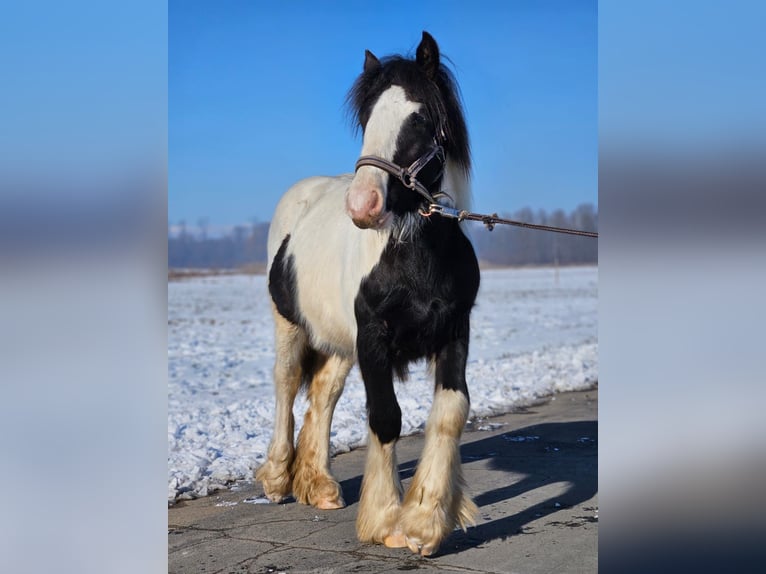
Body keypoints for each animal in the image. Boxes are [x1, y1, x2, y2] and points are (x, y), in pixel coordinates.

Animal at [260, 31, 484, 560]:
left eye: (419, 117)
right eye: (367, 120)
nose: (362, 206)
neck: (414, 253)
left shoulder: (454, 331)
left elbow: (450, 412)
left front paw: (425, 519)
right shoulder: (374, 339)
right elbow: (385, 417)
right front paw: (387, 520)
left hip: (339, 340)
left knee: (323, 395)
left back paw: (319, 485)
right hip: (289, 324)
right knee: (285, 384)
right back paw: (277, 477)